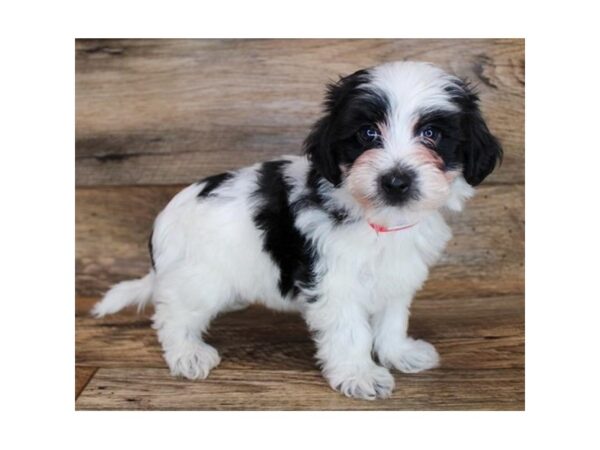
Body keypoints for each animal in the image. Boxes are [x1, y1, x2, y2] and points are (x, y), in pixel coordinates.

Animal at [94, 60, 504, 400]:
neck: (377, 219)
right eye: (367, 133)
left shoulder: (397, 274)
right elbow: (350, 330)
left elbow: (392, 318)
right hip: (198, 276)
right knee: (173, 315)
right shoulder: (333, 281)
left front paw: (399, 353)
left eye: (432, 133)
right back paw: (187, 352)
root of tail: (165, 217)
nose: (396, 180)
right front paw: (360, 375)